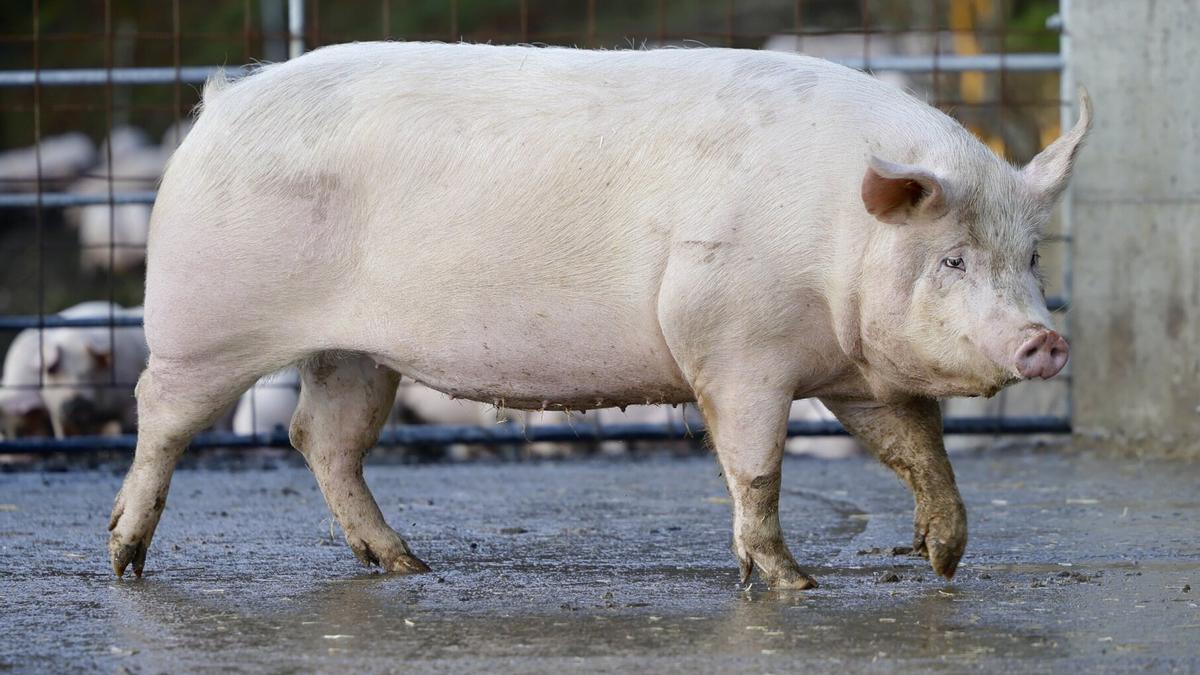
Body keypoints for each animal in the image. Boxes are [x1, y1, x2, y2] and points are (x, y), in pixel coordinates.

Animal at [110, 44, 1089, 586]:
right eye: (951, 258)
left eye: (1031, 257)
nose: (1044, 340)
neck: (834, 237)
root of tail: (220, 105)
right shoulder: (730, 342)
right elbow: (756, 467)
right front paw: (794, 584)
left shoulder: (855, 373)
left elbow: (918, 451)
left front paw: (944, 558)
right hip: (205, 324)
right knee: (160, 414)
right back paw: (126, 559)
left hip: (352, 351)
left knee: (321, 437)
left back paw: (407, 564)